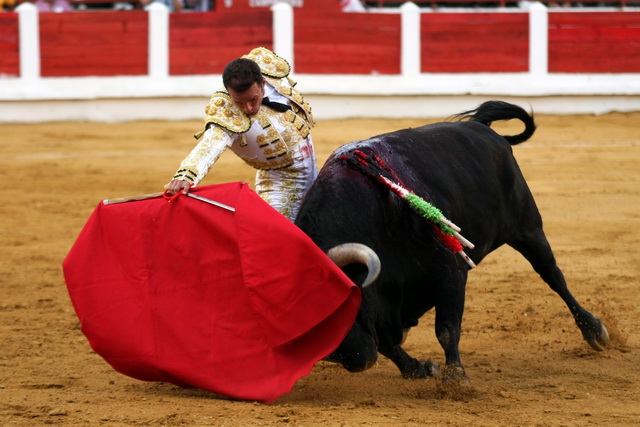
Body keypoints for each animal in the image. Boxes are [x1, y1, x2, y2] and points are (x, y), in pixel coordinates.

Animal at [296, 101, 608, 384]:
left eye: (344, 305)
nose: (357, 361)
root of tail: (481, 127)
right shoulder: (384, 301)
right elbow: (388, 341)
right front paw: (418, 369)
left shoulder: (449, 272)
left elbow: (446, 329)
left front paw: (456, 378)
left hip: (527, 226)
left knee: (552, 274)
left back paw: (594, 331)